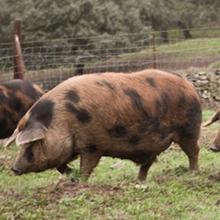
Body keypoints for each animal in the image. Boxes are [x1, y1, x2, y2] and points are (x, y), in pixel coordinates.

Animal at [5, 69, 201, 182]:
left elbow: (86, 167)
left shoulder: (92, 145)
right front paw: (71, 176)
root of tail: (190, 86)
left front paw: (81, 182)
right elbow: (60, 165)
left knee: (194, 151)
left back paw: (192, 173)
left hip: (188, 129)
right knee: (147, 163)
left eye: (31, 144)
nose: (14, 168)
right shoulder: (69, 148)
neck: (62, 120)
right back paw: (138, 181)